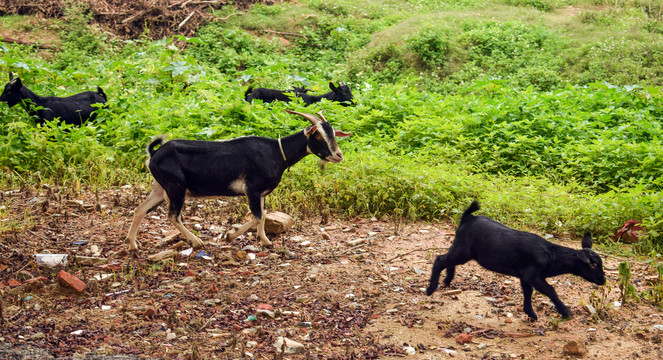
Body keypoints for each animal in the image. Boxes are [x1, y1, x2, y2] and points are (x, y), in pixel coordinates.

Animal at [126, 108, 352, 252]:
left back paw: (133, 245)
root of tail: (154, 154)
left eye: (333, 134)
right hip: (176, 187)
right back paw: (197, 242)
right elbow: (258, 216)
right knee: (173, 216)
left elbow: (264, 214)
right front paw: (231, 236)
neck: (276, 153)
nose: (339, 155)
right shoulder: (252, 189)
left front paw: (265, 241)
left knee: (139, 209)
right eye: (318, 136)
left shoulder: (261, 193)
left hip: (160, 187)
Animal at [426, 200, 608, 320]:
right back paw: (430, 289)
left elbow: (528, 292)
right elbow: (550, 290)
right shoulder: (533, 275)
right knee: (440, 260)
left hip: (461, 249)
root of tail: (467, 217)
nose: (603, 280)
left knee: (448, 261)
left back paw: (447, 280)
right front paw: (566, 312)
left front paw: (531, 313)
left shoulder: (524, 276)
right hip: (463, 250)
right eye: (593, 266)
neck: (552, 256)